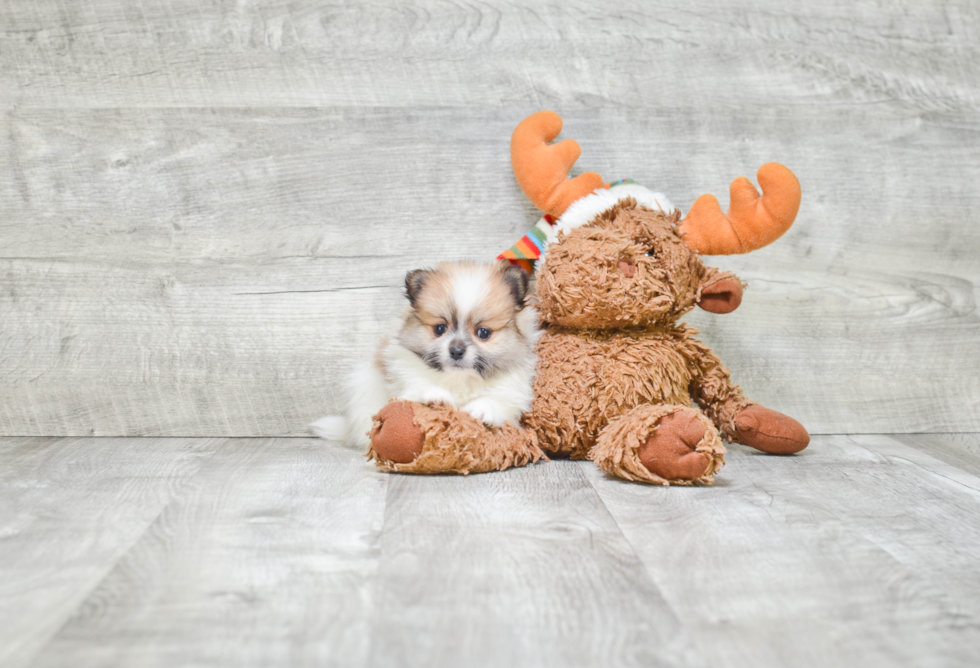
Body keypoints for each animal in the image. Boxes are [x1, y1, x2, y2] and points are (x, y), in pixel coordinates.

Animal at [314, 262, 540, 448]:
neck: (458, 378)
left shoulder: (513, 386)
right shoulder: (404, 370)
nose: (456, 350)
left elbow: (500, 401)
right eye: (440, 328)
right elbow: (418, 385)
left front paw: (483, 410)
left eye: (483, 333)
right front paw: (435, 396)